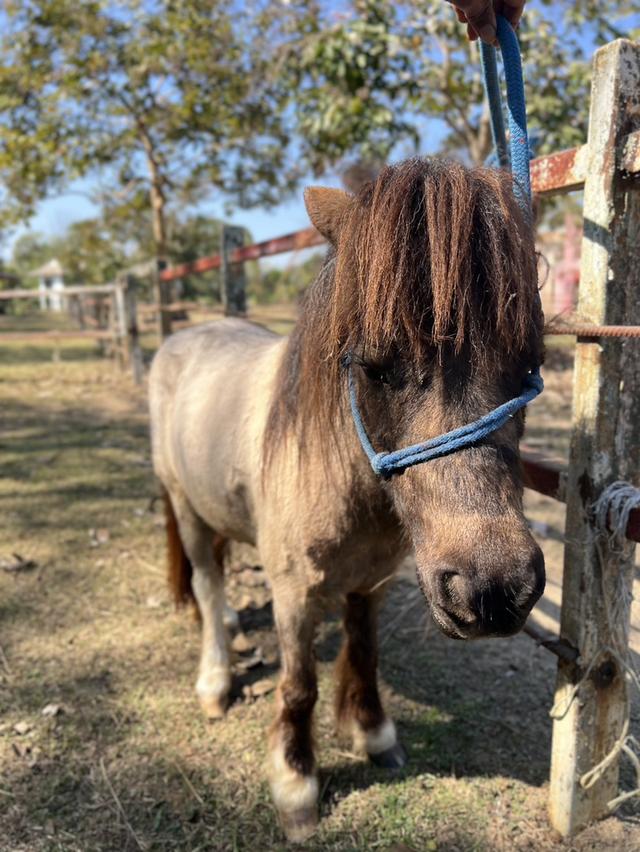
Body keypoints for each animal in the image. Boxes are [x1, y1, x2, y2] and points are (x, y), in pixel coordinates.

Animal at [149, 156, 545, 842]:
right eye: (372, 364)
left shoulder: (372, 583)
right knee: (205, 580)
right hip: (184, 506)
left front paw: (373, 734)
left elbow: (363, 654)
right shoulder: (293, 593)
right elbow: (299, 685)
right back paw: (215, 680)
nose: (494, 590)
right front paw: (295, 784)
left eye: (529, 363)